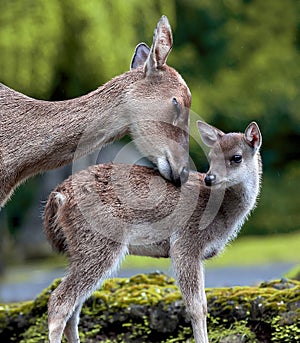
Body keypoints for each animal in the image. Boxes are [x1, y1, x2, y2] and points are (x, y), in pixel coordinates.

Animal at [43, 119, 262, 342]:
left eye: (236, 157)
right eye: (211, 156)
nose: (209, 178)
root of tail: (59, 196)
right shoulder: (185, 243)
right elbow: (197, 307)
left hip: (83, 248)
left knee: (73, 308)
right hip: (97, 242)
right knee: (59, 301)